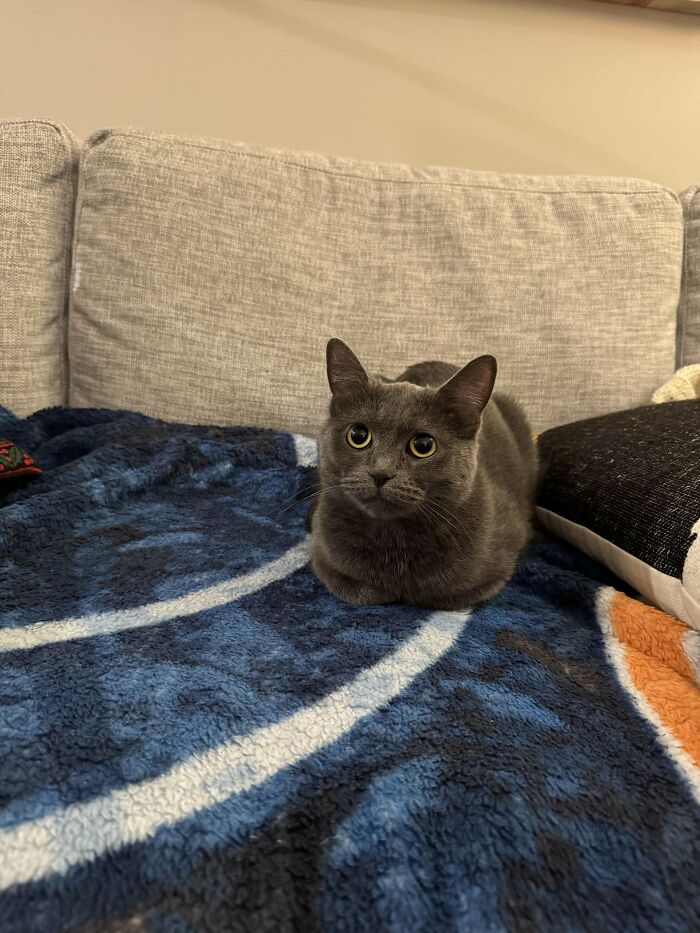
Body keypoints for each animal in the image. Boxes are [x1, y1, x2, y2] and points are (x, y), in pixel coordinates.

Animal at [308, 338, 540, 608]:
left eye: (423, 446)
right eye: (358, 436)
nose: (380, 472)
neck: (393, 541)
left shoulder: (498, 568)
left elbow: (440, 595)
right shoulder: (322, 553)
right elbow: (356, 588)